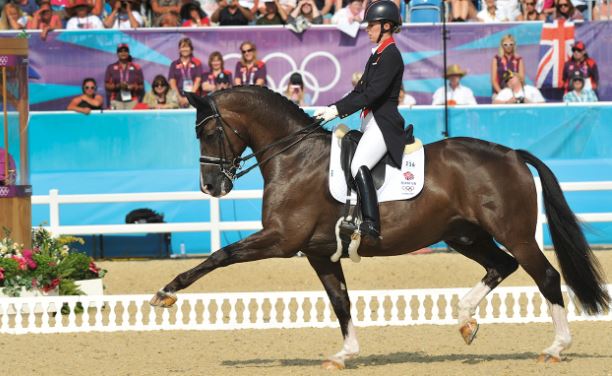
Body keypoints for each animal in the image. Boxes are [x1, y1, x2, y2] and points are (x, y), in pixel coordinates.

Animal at [151, 85, 608, 368]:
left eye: (210, 130)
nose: (211, 187)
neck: (295, 157)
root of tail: (512, 153)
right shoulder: (318, 252)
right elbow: (340, 301)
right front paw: (345, 354)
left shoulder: (281, 240)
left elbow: (220, 255)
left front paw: (165, 293)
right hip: (463, 234)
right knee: (502, 265)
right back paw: (465, 319)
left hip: (514, 233)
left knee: (545, 276)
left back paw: (555, 347)